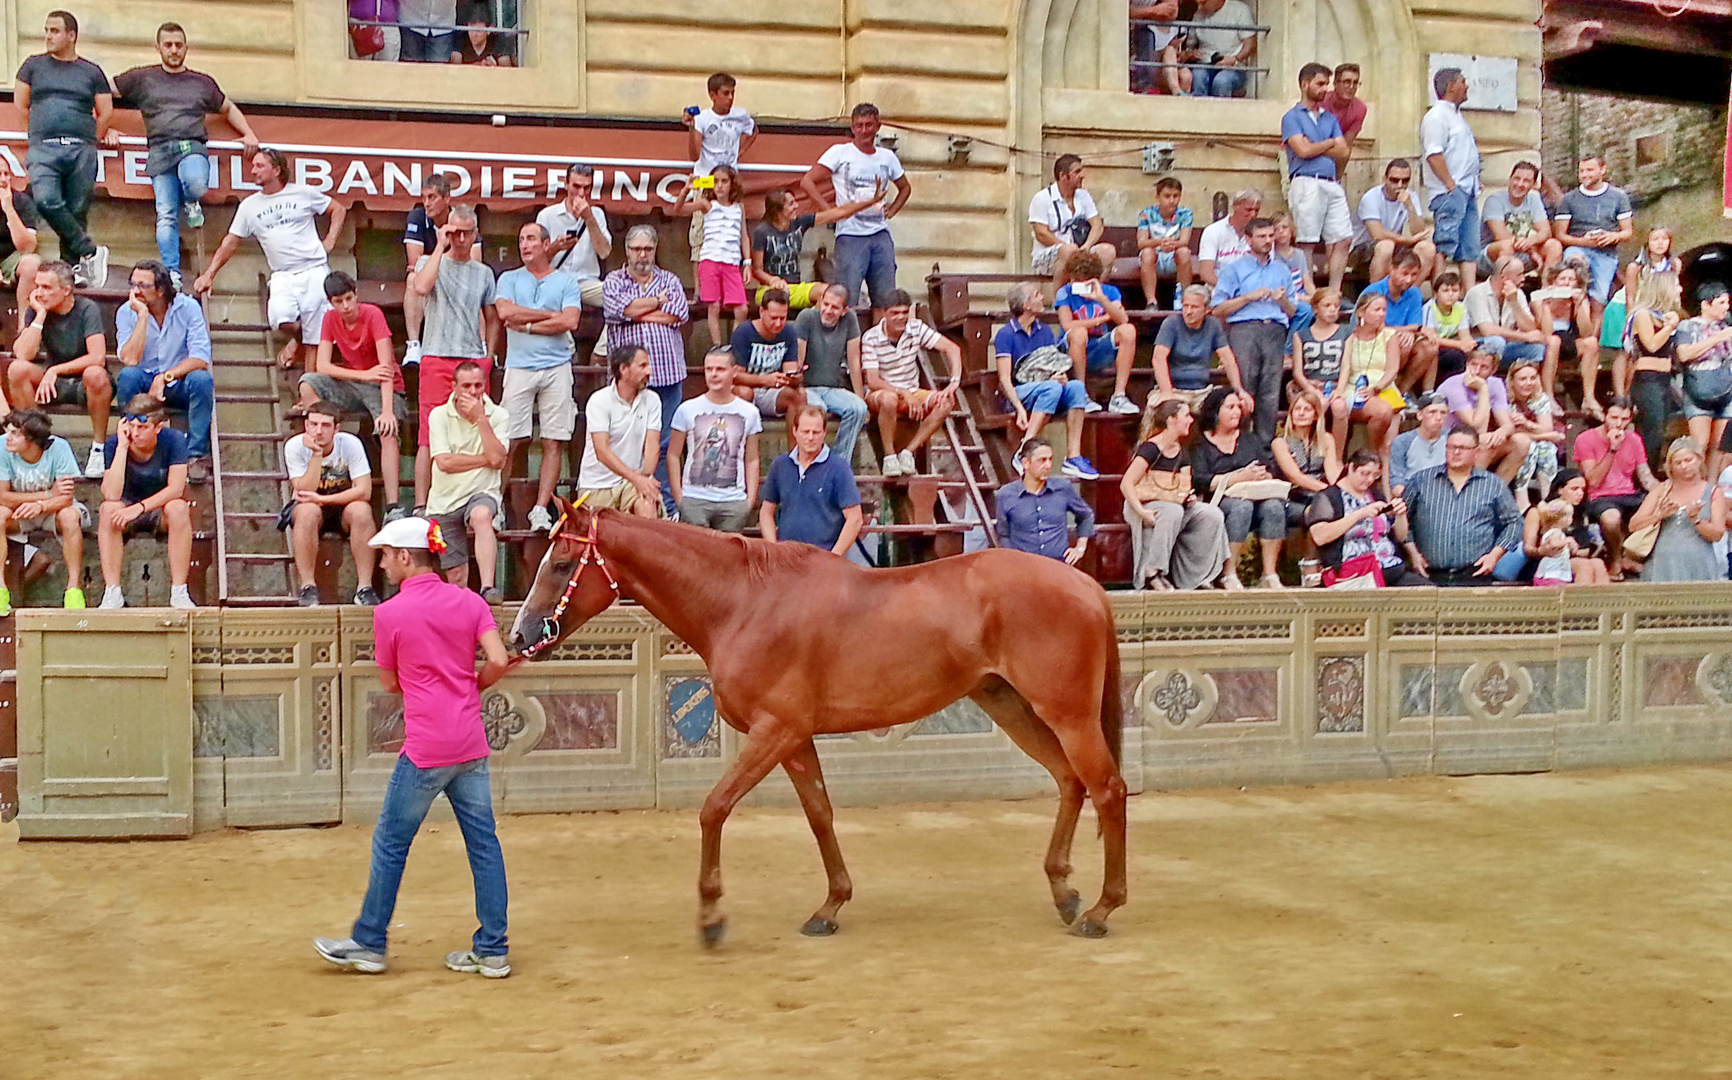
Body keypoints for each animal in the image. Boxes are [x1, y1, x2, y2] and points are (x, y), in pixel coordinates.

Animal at [505, 501, 1129, 941]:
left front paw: (711, 915)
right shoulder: (796, 737)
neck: (745, 602)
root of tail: (1084, 583)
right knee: (1071, 781)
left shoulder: (774, 730)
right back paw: (1065, 892)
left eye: (561, 564)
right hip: (1011, 705)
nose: (518, 635)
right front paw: (830, 906)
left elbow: (714, 809)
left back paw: (1102, 908)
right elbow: (820, 814)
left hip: (1067, 713)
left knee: (1107, 788)